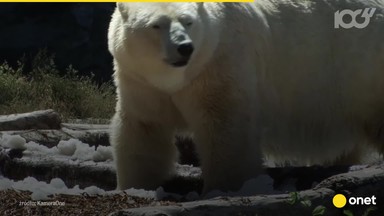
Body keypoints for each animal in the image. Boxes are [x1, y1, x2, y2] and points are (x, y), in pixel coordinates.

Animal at [108, 1, 384, 194]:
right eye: (156, 25)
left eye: (188, 22)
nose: (184, 47)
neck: (179, 77)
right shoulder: (139, 80)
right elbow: (144, 128)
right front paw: (135, 184)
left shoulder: (218, 62)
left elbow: (224, 127)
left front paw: (224, 186)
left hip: (362, 72)